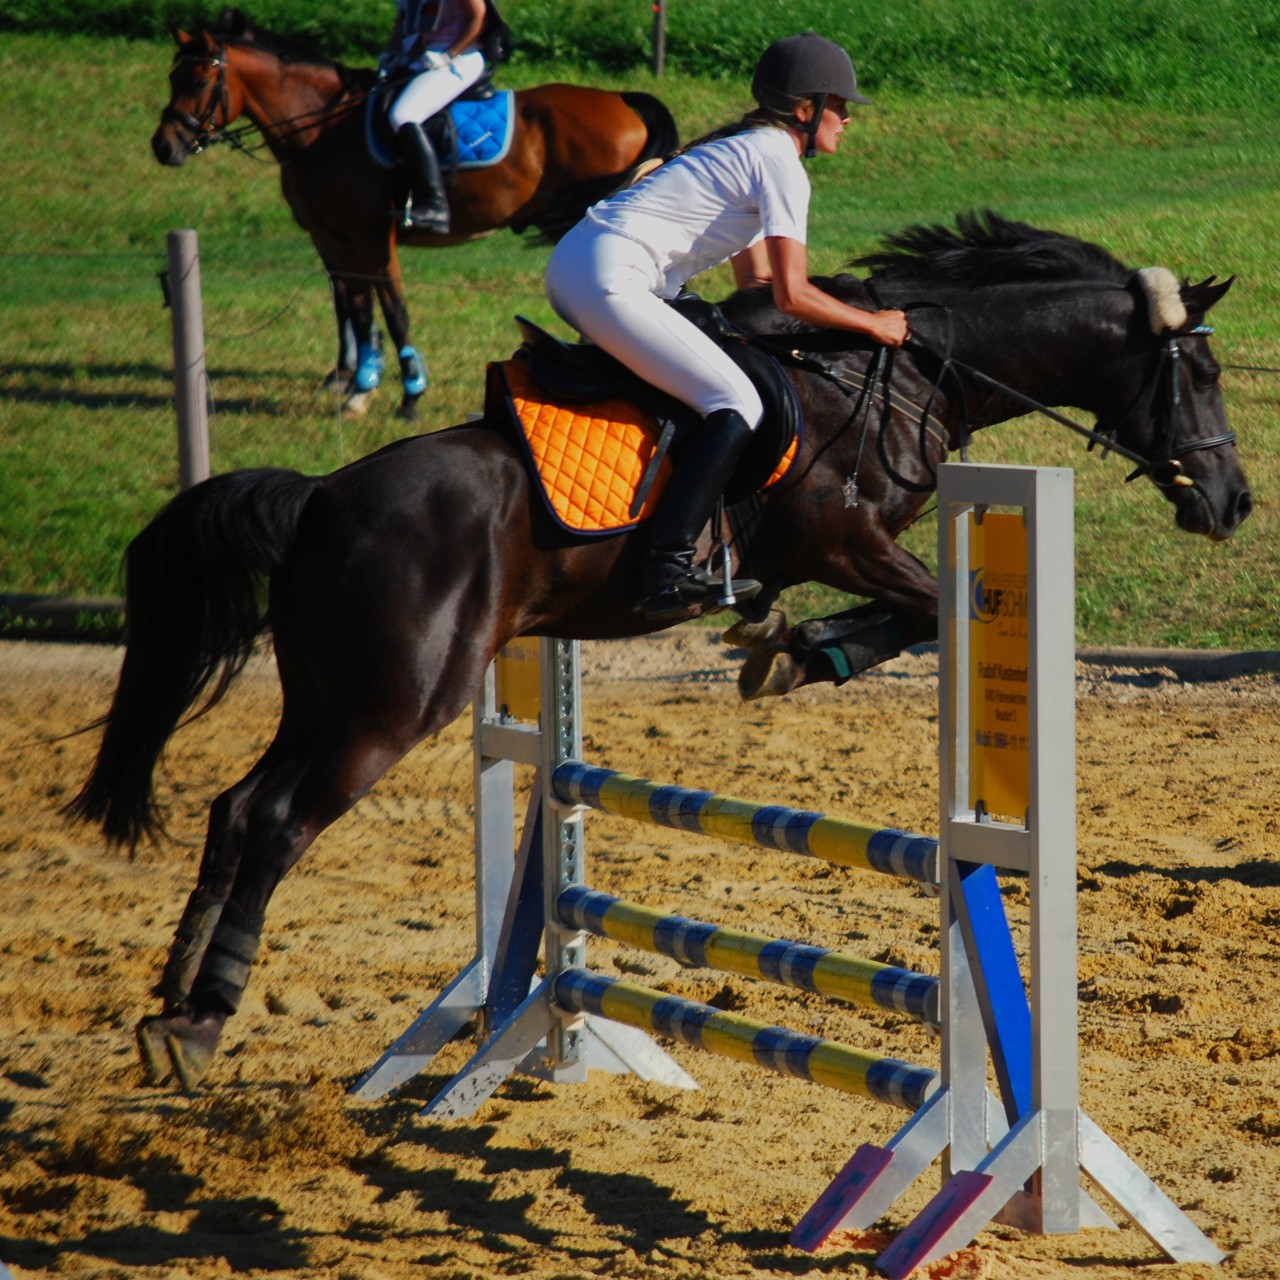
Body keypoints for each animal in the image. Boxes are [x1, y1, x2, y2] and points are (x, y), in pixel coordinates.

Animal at [67, 212, 1249, 1090]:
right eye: (1201, 373)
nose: (1232, 501)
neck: (900, 369)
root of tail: (317, 497)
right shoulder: (846, 540)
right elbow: (917, 612)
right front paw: (797, 646)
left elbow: (897, 618)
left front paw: (782, 642)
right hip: (392, 706)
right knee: (276, 820)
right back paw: (202, 1019)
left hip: (326, 691)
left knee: (234, 808)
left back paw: (171, 1002)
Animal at [149, 11, 680, 419]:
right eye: (172, 78)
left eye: (198, 80)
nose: (164, 146)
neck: (322, 127)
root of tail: (621, 100)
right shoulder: (331, 236)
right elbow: (354, 307)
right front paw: (356, 384)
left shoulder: (370, 235)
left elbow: (391, 308)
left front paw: (406, 395)